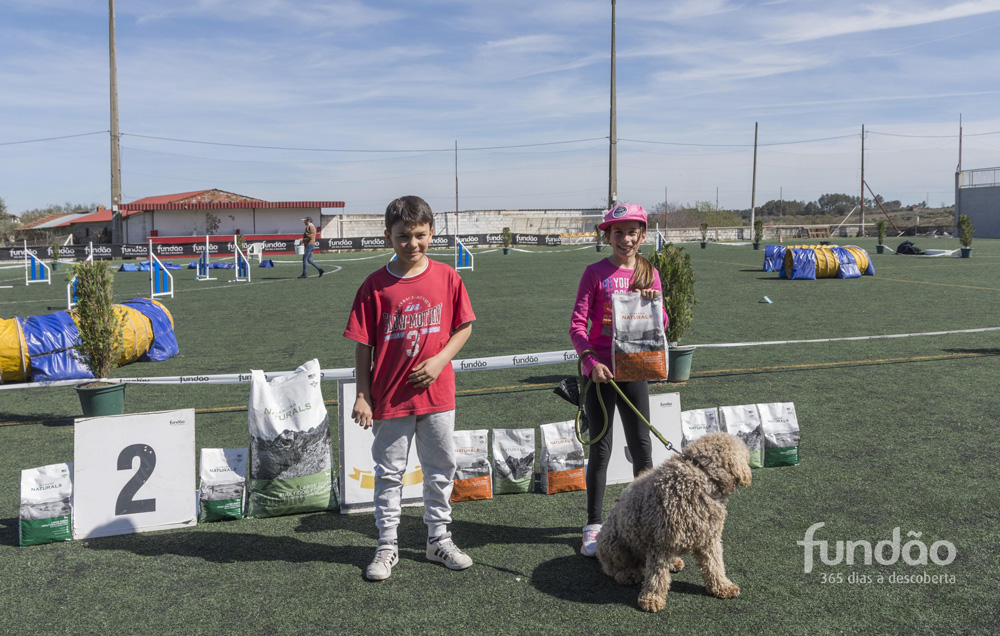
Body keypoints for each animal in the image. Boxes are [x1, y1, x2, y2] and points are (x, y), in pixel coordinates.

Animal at [592, 432, 752, 612]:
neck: (701, 473)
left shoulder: (709, 539)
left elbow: (715, 565)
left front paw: (723, 586)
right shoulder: (661, 543)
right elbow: (657, 576)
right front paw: (652, 599)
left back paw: (674, 562)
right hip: (613, 543)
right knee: (613, 567)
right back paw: (627, 574)